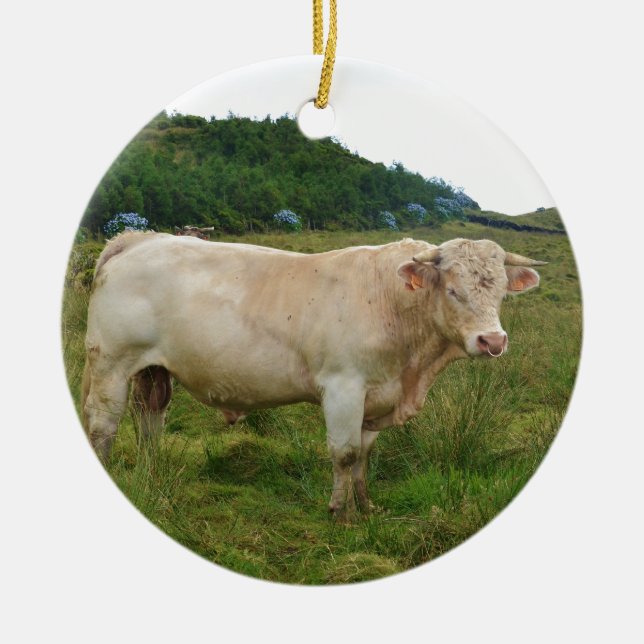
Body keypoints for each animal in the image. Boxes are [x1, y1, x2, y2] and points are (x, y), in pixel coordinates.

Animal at [81, 232, 546, 520]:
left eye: (501, 292)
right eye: (453, 290)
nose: (493, 340)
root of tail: (141, 238)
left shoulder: (374, 395)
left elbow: (363, 455)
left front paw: (366, 507)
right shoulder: (344, 387)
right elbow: (344, 453)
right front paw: (341, 514)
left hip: (152, 369)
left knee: (150, 418)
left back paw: (152, 471)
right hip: (111, 364)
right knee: (104, 424)